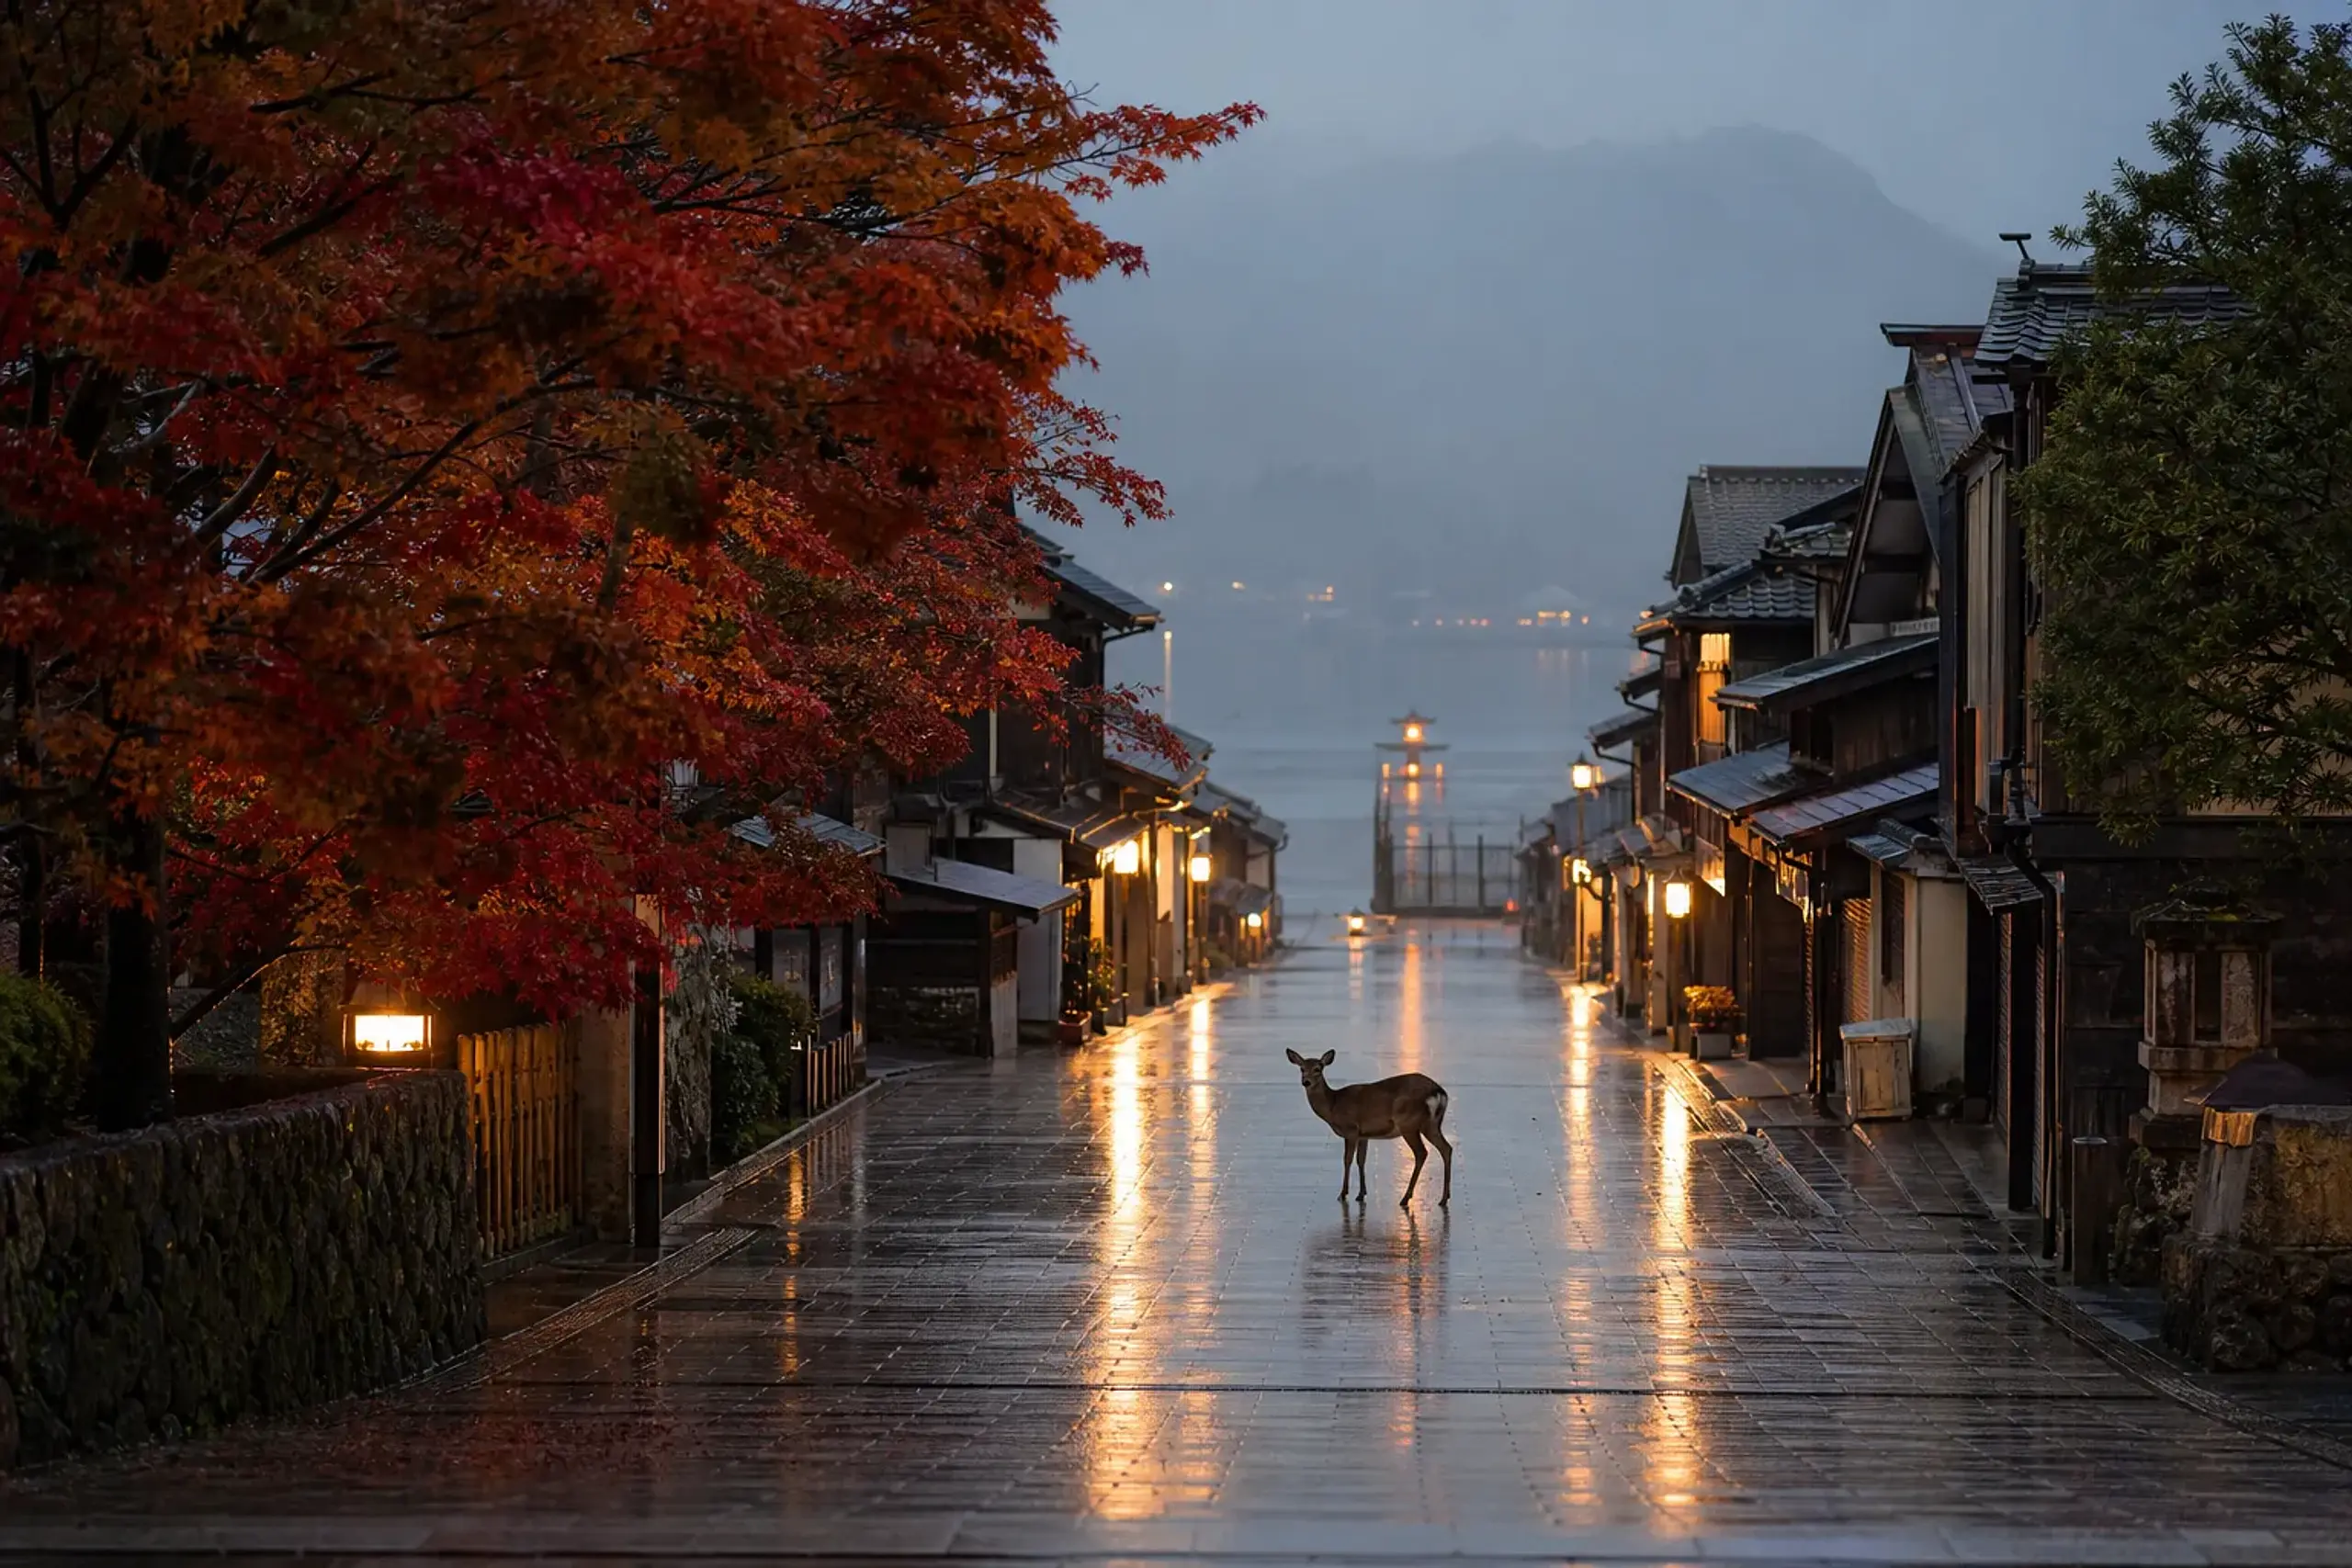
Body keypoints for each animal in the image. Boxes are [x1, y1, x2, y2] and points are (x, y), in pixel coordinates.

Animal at [1285, 1048, 1452, 1207]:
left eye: (1318, 1069)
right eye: (1302, 1068)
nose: (1306, 1082)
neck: (1333, 1106)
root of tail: (1438, 1092)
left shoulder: (1351, 1129)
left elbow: (1347, 1159)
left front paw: (1343, 1193)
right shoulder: (1363, 1135)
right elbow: (1361, 1160)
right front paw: (1361, 1193)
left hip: (1409, 1123)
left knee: (1421, 1153)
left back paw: (1405, 1198)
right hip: (1432, 1124)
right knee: (1446, 1148)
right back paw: (1444, 1198)